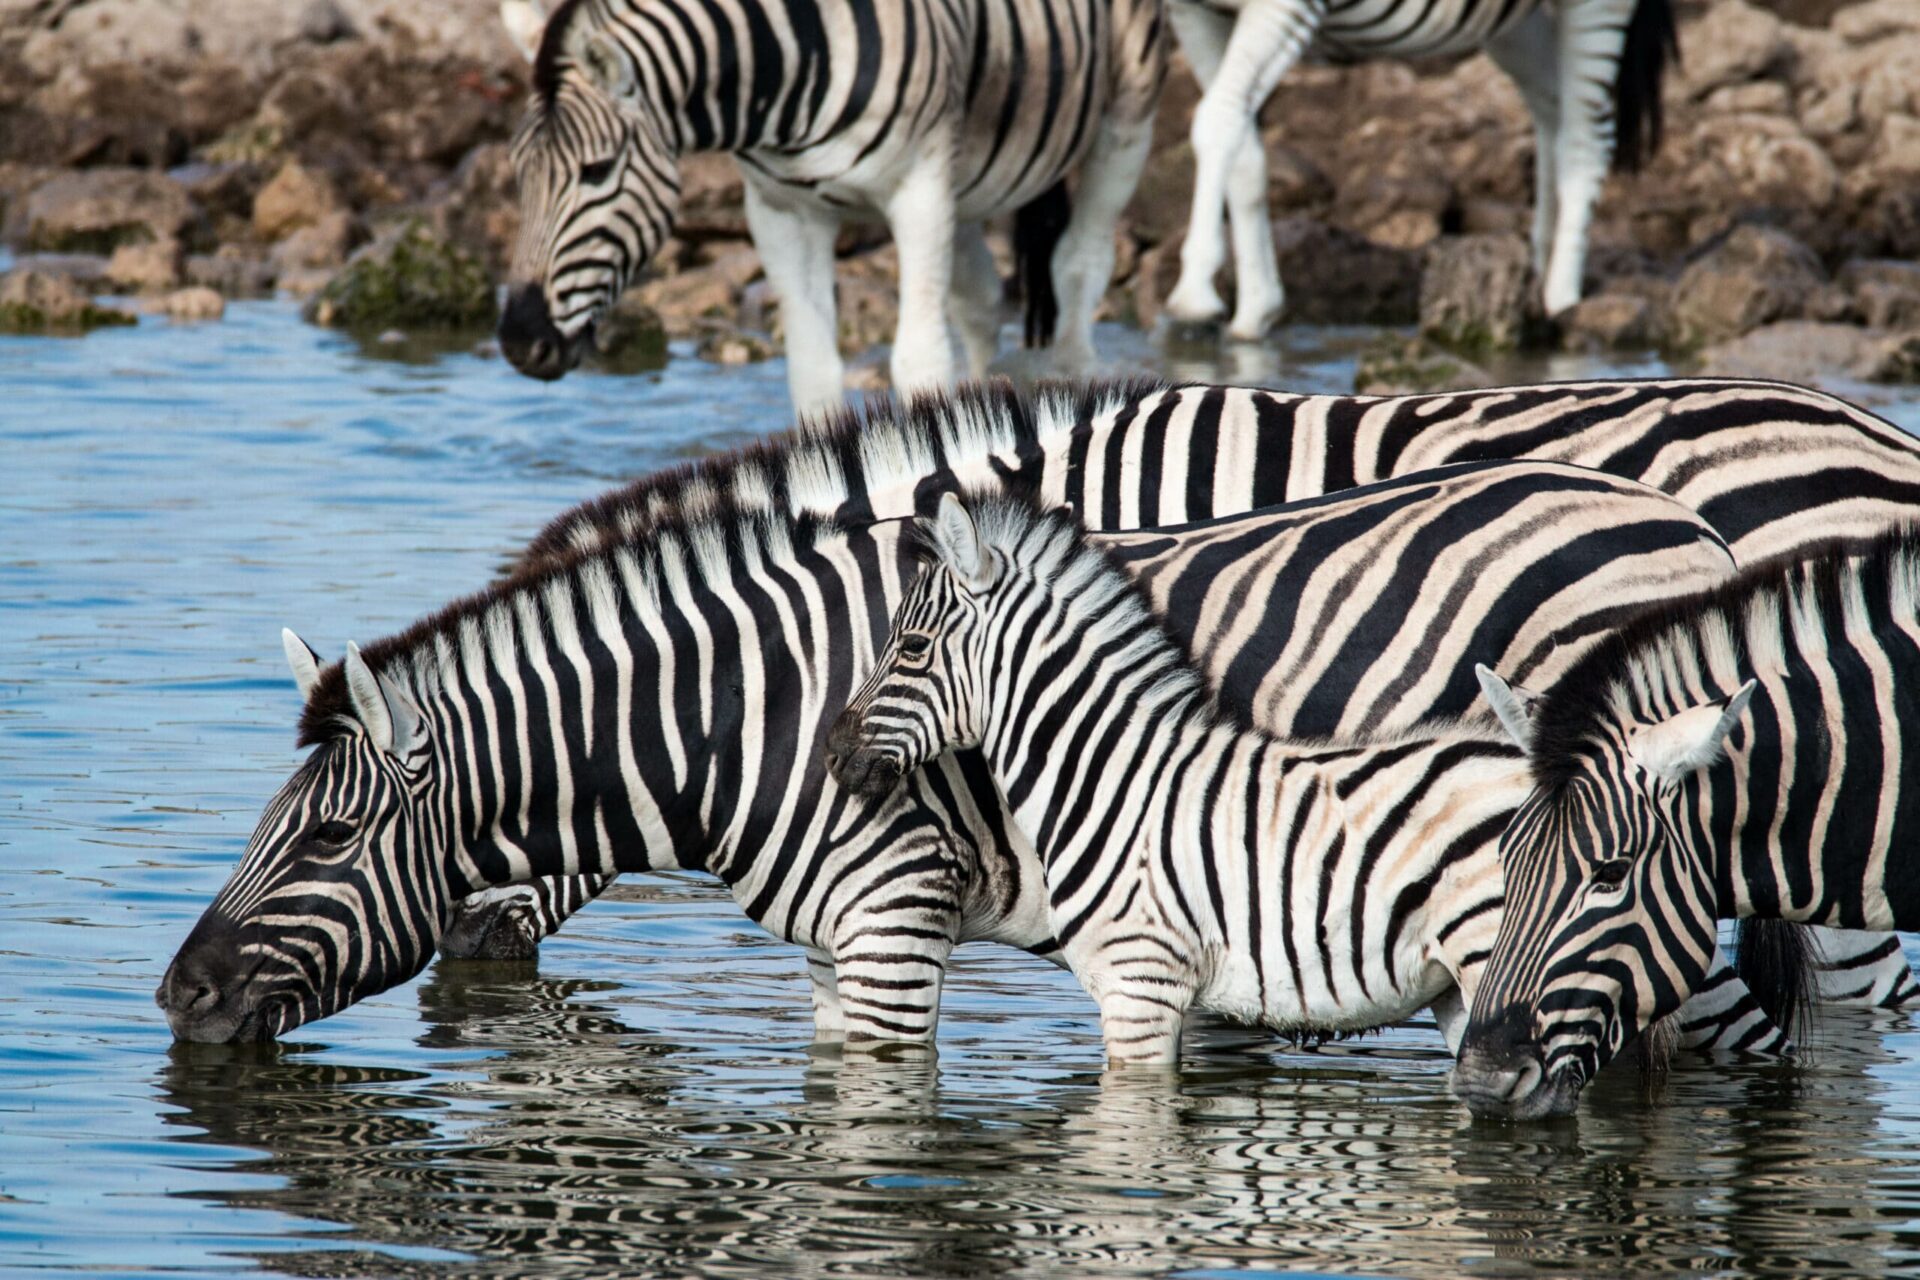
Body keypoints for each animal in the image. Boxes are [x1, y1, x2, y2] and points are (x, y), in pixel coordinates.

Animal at [157, 445, 1829, 1054]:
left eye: (321, 840)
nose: (174, 999)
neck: (751, 715)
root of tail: (1687, 531)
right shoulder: (844, 949)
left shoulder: (897, 920)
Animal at [495, 0, 1166, 412]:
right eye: (518, 173)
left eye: (596, 171)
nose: (520, 343)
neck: (782, 69)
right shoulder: (779, 211)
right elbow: (813, 372)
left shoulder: (920, 189)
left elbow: (919, 361)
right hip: (970, 184)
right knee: (978, 302)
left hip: (1125, 114)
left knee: (1079, 263)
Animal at [1160, 0, 1676, 337]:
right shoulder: (1193, 11)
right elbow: (1244, 146)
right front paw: (1255, 308)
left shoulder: (1283, 5)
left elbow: (1218, 119)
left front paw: (1195, 290)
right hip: (1513, 21)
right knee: (1550, 107)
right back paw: (1538, 267)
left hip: (1597, 7)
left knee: (1584, 138)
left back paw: (1562, 299)